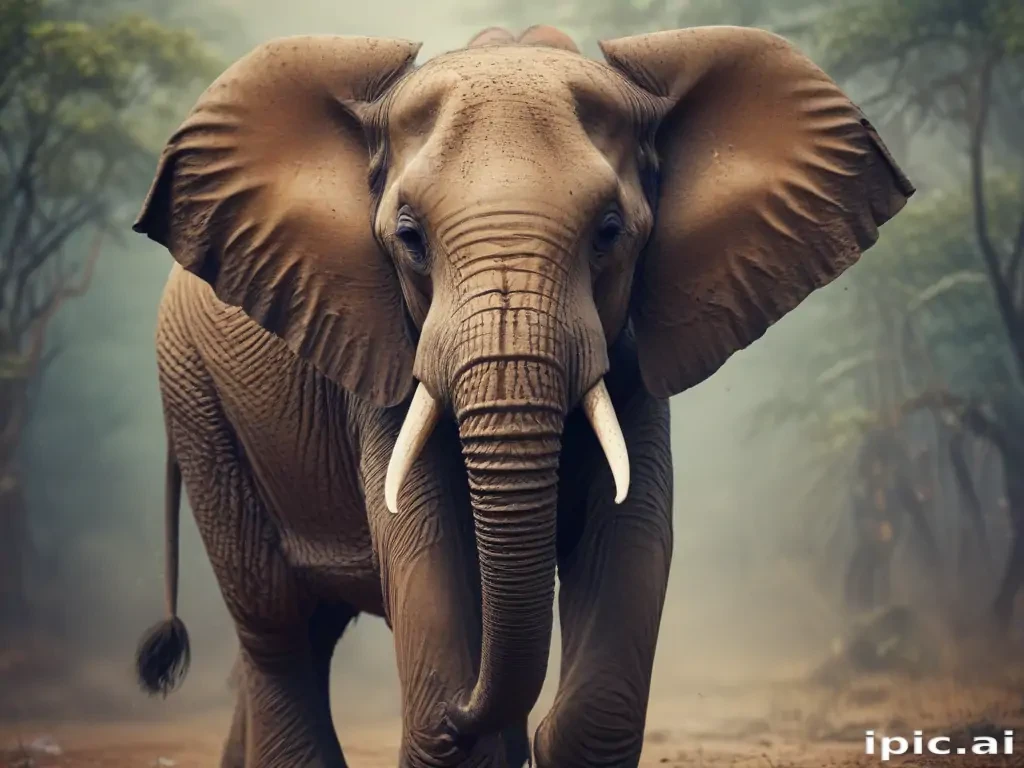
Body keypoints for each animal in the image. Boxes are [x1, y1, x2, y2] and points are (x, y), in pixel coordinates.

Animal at [131, 22, 914, 768]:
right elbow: (424, 537)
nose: (464, 712)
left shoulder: (631, 357)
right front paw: (457, 727)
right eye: (409, 238)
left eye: (609, 233)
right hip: (197, 400)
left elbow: (631, 529)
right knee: (278, 626)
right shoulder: (380, 345)